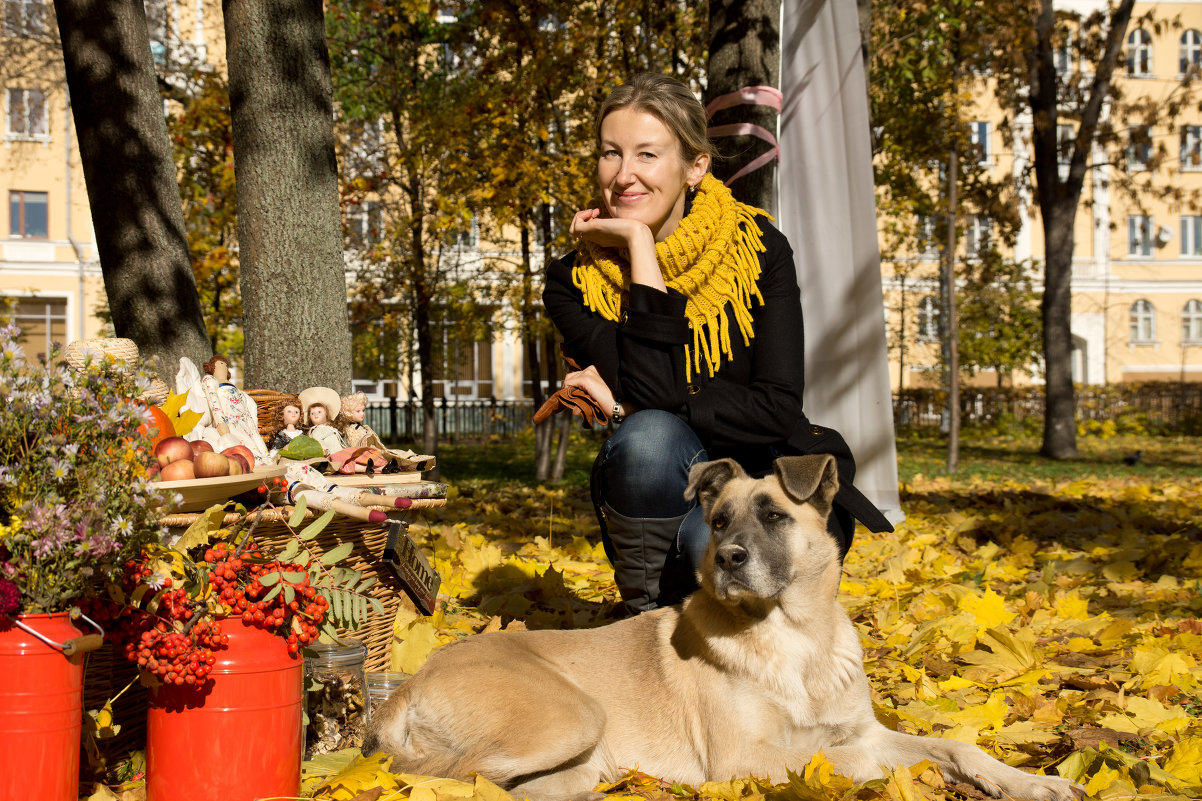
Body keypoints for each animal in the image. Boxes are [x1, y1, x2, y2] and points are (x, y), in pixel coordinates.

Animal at [360, 454, 1086, 798]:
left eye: (774, 516)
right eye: (719, 520)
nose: (730, 559)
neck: (798, 641)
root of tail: (404, 688)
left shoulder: (869, 728)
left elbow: (955, 747)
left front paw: (1031, 781)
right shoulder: (749, 758)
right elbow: (841, 757)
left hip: (578, 757)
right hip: (571, 716)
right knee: (458, 780)